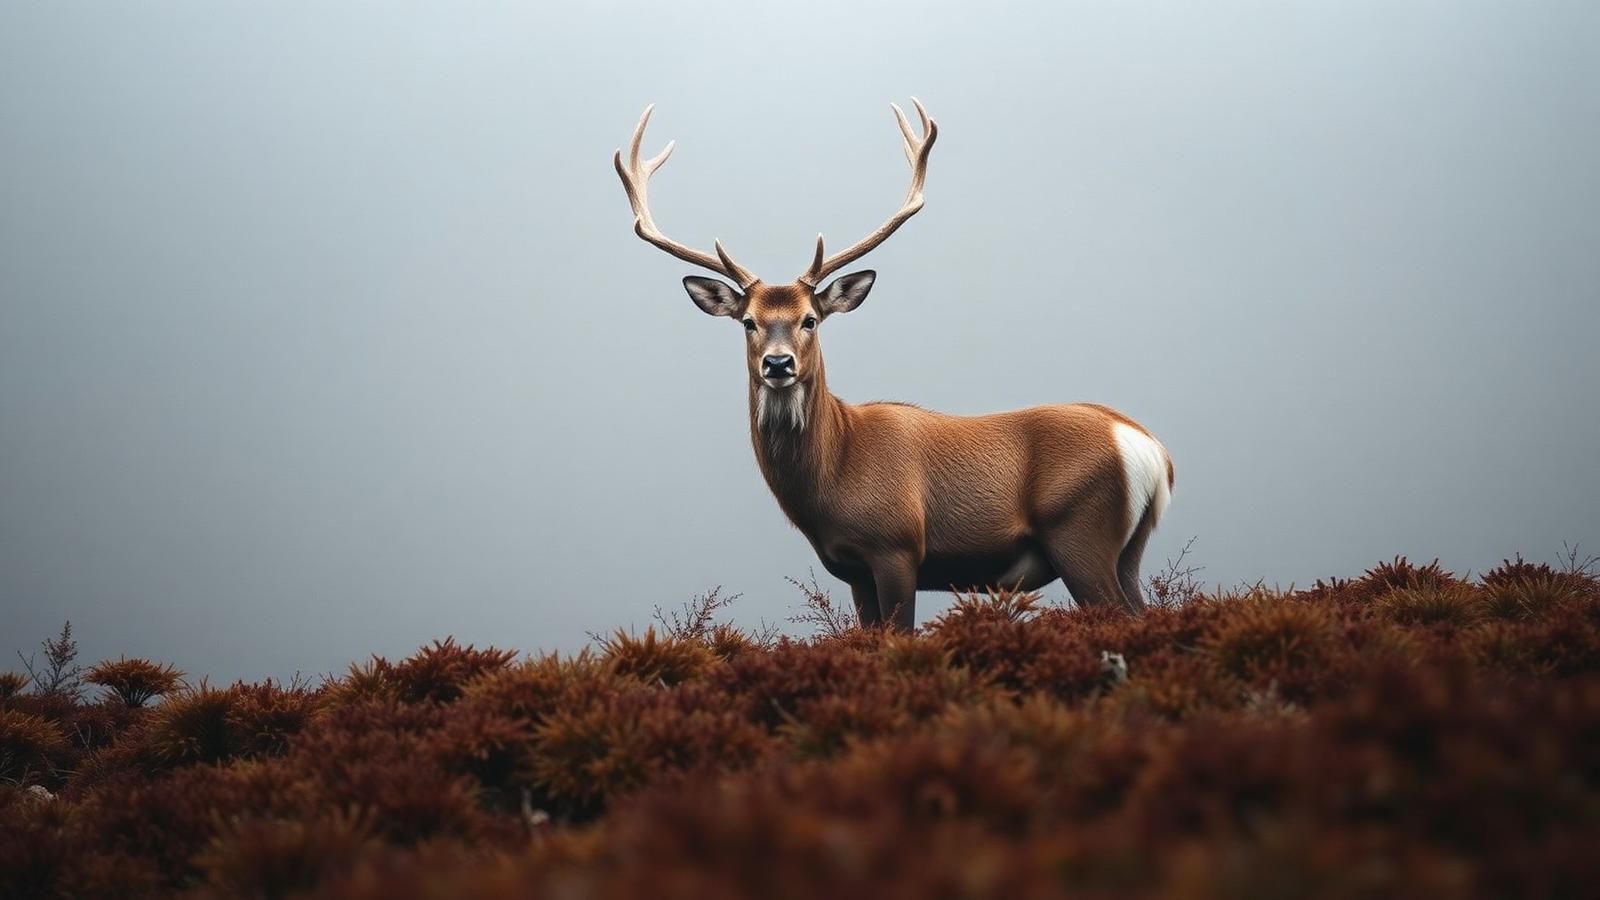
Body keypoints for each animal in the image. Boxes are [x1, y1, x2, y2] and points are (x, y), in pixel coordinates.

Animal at [614, 99, 1173, 629]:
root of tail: (1152, 452)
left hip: (1079, 532)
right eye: (748, 321)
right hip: (1127, 549)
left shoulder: (897, 547)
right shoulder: (853, 570)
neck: (834, 476)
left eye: (810, 319)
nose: (778, 363)